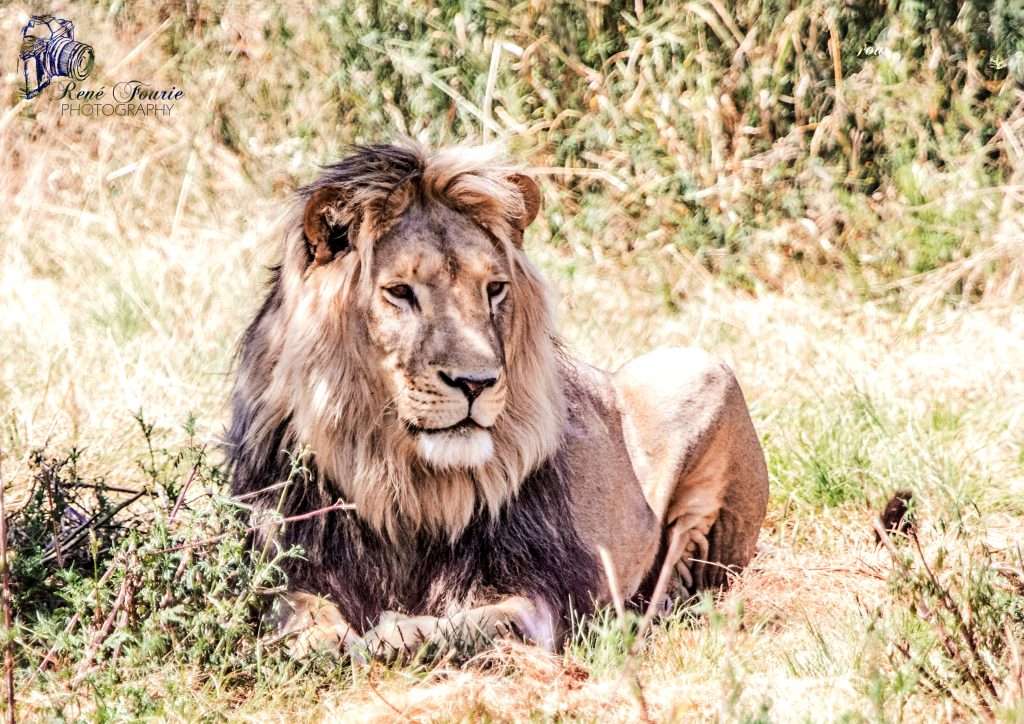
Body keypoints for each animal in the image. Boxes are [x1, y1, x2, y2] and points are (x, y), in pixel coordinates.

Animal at [227, 143, 769, 660]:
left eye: (494, 289)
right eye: (400, 292)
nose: (476, 382)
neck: (403, 484)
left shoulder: (539, 591)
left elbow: (477, 624)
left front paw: (400, 633)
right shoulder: (283, 553)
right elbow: (287, 605)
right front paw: (317, 638)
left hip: (700, 372)